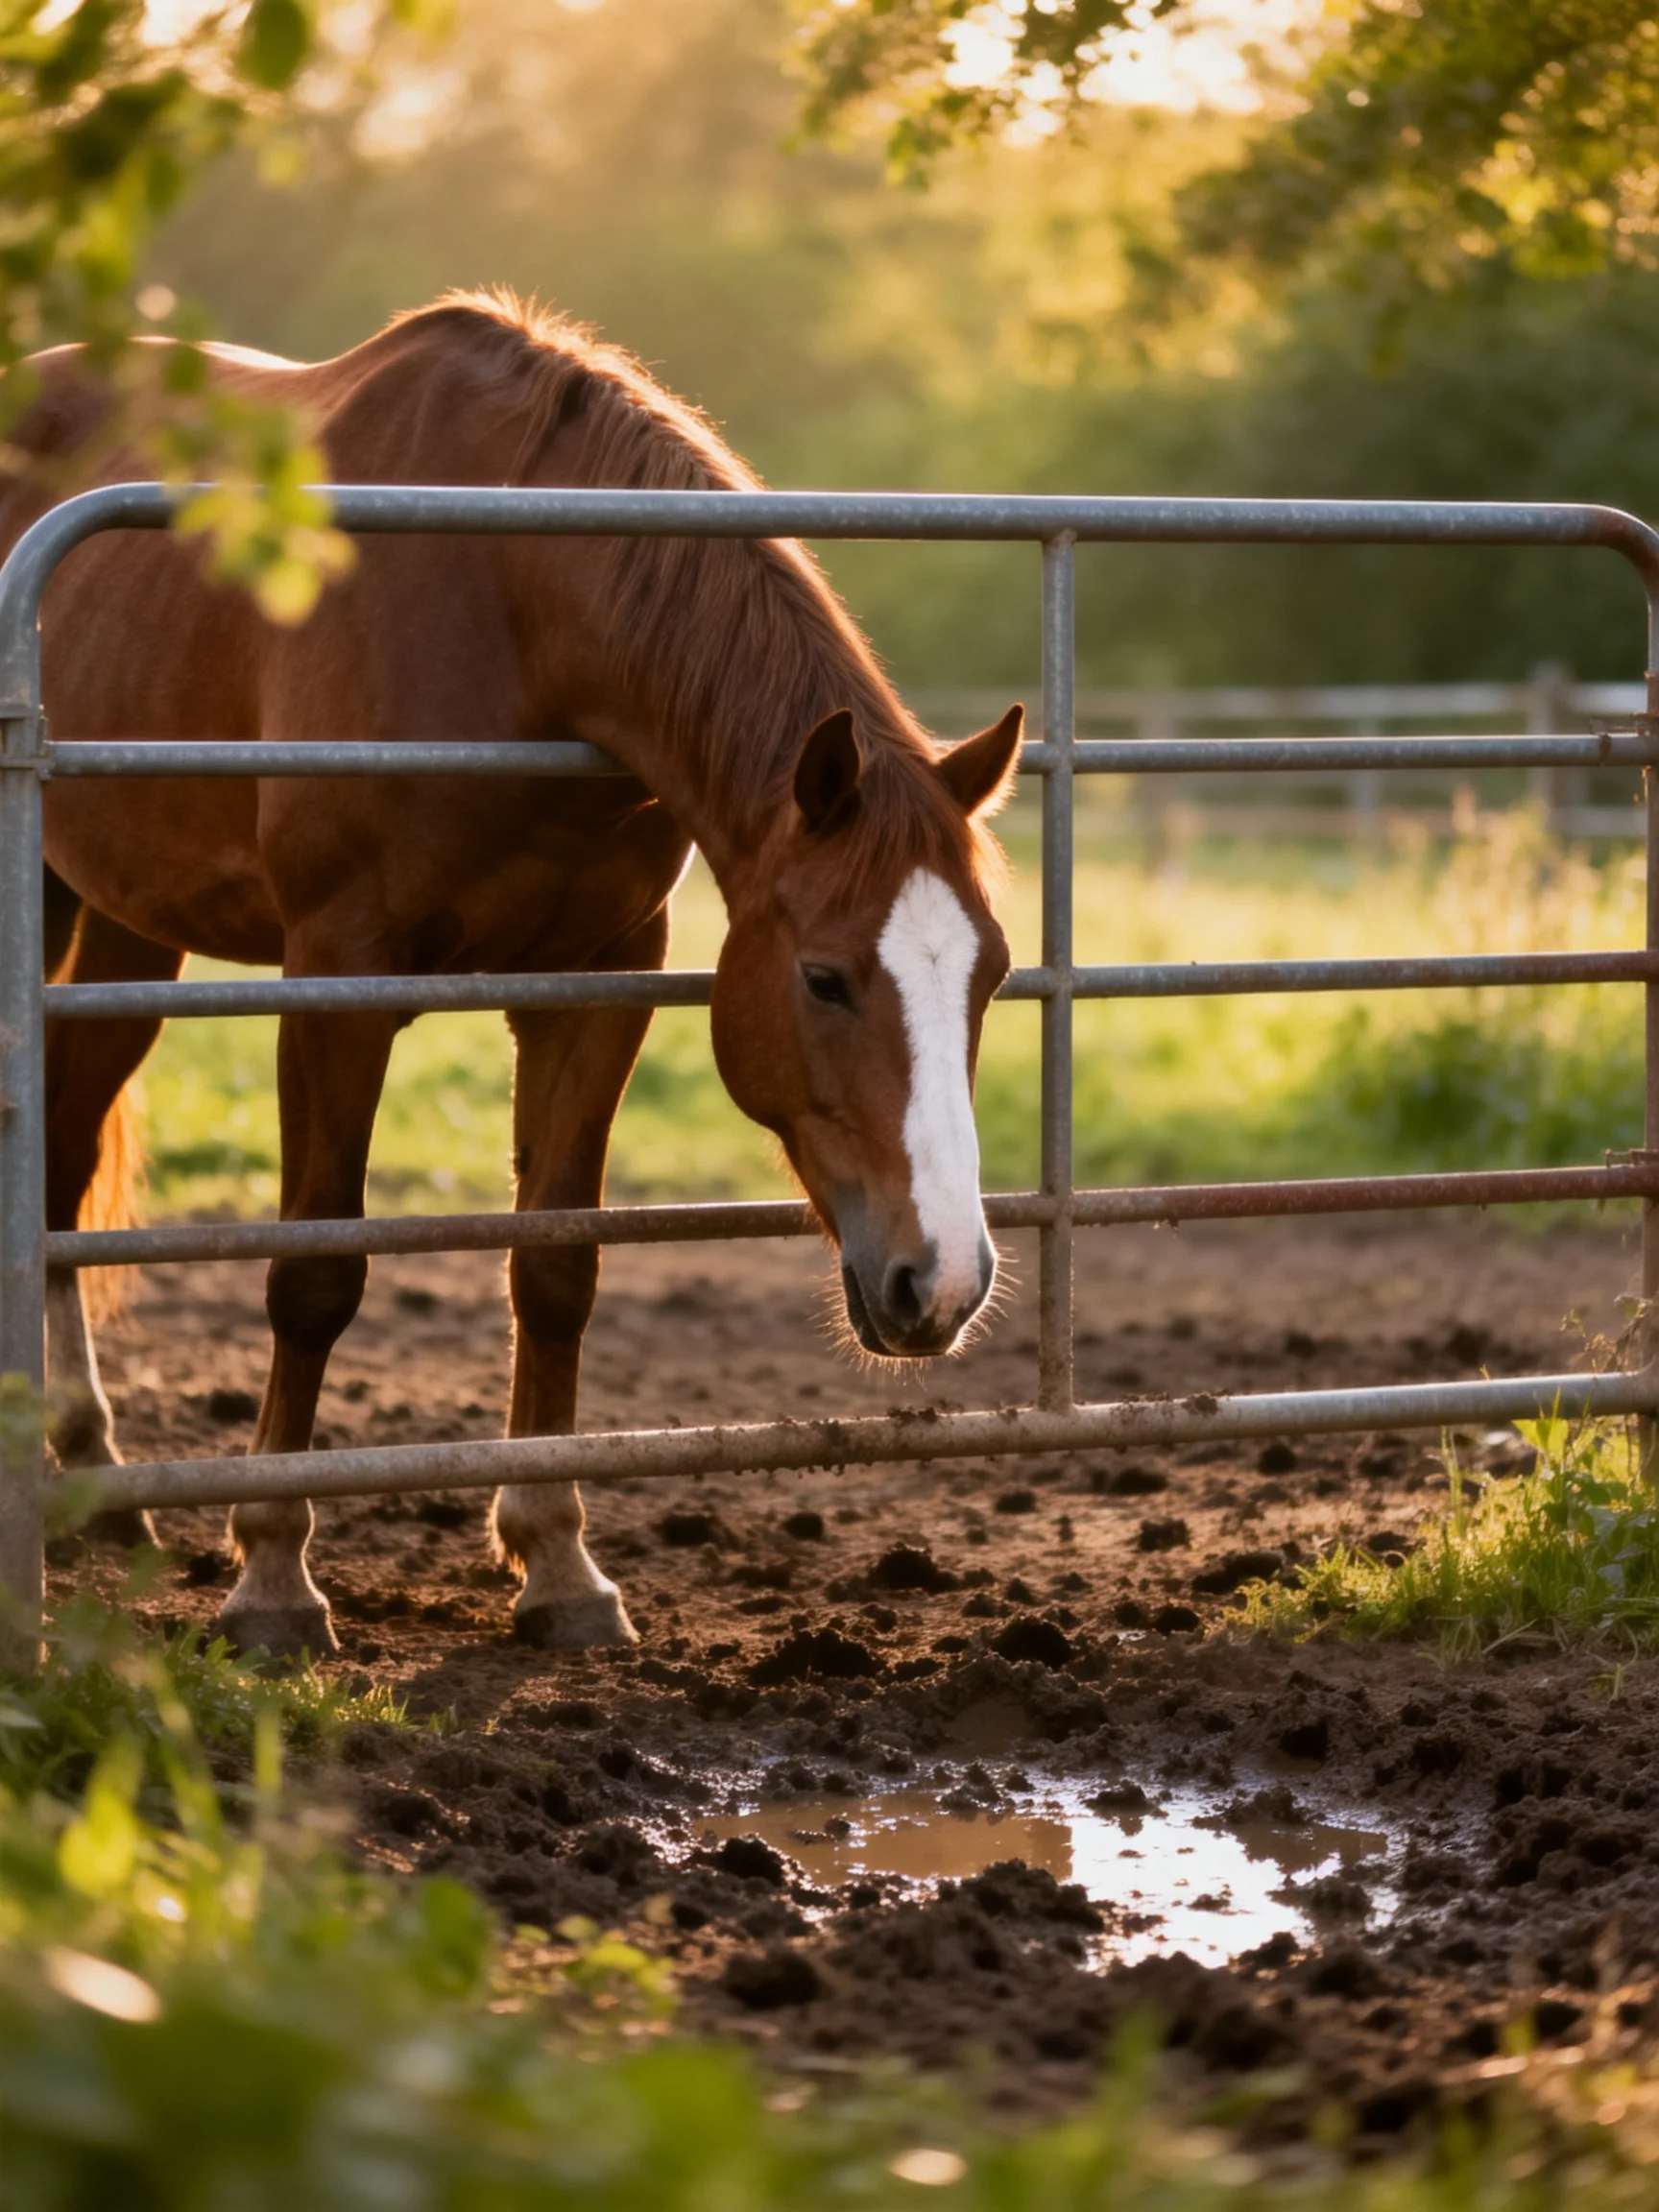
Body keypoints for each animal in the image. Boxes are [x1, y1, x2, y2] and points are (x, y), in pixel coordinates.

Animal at [5, 290, 1023, 1660]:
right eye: (822, 978)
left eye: (992, 977)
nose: (942, 1282)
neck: (511, 601)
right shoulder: (339, 974)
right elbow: (314, 1274)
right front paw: (273, 1575)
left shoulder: (593, 979)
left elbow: (555, 1269)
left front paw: (557, 1561)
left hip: (126, 927)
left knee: (61, 1162)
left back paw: (95, 1473)